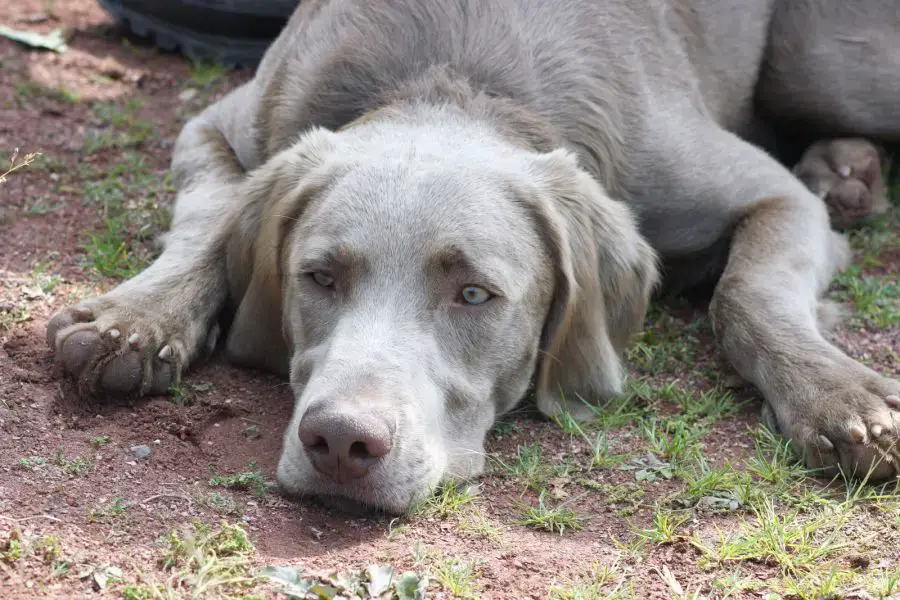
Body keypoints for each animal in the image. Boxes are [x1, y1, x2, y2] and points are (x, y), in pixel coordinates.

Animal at [47, 0, 900, 512]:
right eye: (318, 277)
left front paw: (840, 398)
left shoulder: (768, 196)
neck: (454, 81)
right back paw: (846, 169)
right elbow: (211, 217)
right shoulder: (223, 122)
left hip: (828, 63)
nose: (341, 443)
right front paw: (133, 320)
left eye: (474, 295)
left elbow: (746, 293)